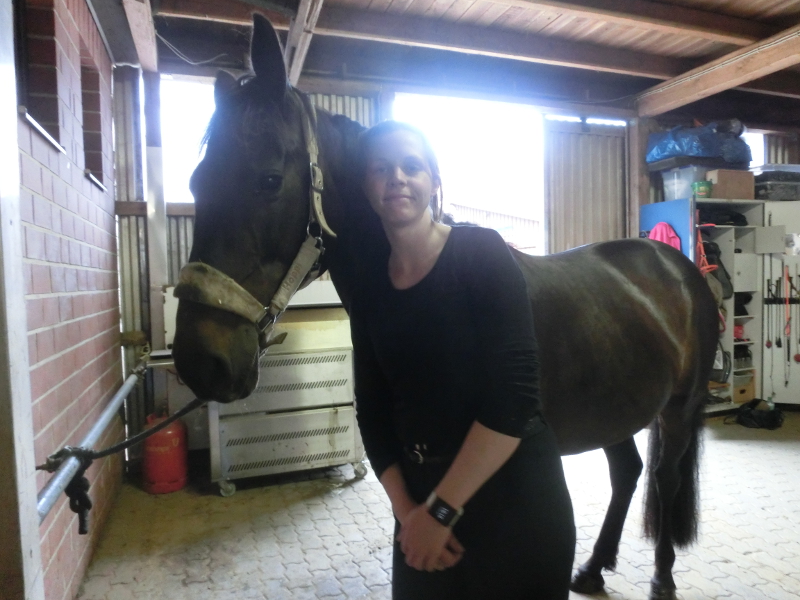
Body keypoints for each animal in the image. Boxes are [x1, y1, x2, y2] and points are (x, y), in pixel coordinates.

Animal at [171, 15, 718, 600]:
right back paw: (593, 569)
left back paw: (662, 578)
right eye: (195, 182)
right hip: (614, 408)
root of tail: (675, 264)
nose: (200, 360)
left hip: (677, 411)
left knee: (665, 479)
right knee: (628, 472)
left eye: (269, 180)